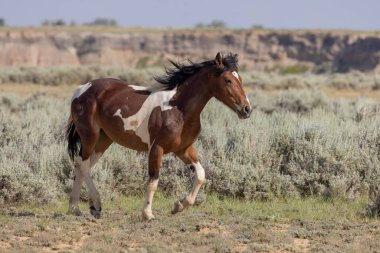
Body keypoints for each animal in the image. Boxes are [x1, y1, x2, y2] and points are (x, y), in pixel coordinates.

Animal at [65, 52, 252, 220]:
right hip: (90, 136)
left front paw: (179, 205)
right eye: (228, 80)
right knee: (82, 164)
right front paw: (147, 214)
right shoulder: (156, 148)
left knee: (82, 166)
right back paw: (93, 205)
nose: (247, 109)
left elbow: (200, 175)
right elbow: (153, 181)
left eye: (240, 79)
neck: (178, 109)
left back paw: (78, 208)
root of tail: (81, 90)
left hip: (104, 140)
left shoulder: (183, 149)